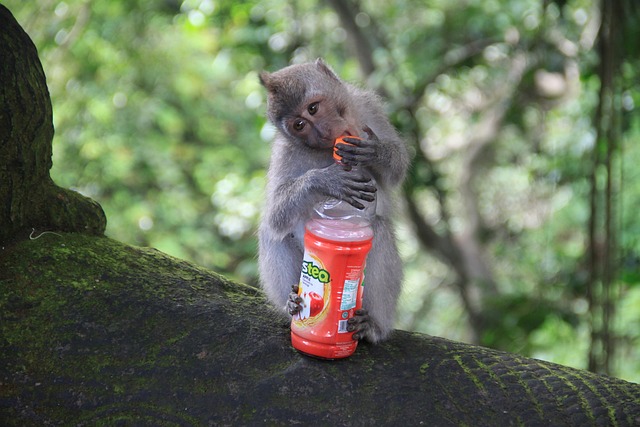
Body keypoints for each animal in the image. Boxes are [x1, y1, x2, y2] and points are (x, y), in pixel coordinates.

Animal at [256, 58, 410, 344]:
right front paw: (326, 180)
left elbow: (396, 169)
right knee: (271, 233)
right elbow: (276, 215)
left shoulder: (368, 106)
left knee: (380, 230)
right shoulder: (286, 150)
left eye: (313, 108)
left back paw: (373, 326)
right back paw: (291, 304)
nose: (323, 132)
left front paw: (375, 152)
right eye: (299, 125)